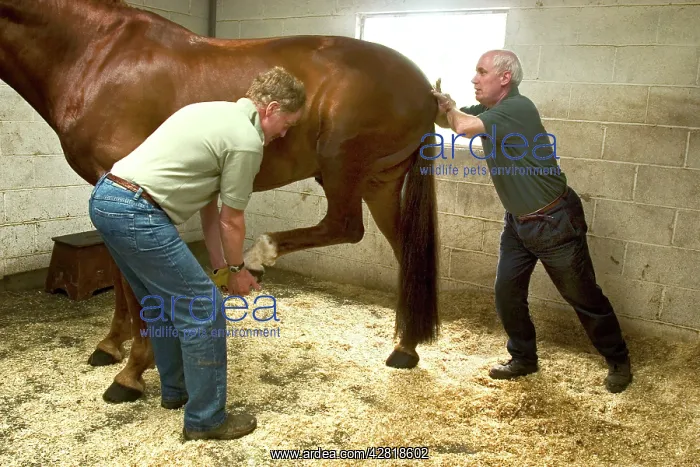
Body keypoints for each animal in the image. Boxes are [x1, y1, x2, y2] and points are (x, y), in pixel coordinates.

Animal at [0, 0, 440, 403]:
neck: (96, 53)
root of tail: (427, 89)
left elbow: (133, 278)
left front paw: (133, 370)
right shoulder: (106, 184)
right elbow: (121, 274)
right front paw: (111, 345)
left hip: (342, 171)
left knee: (345, 227)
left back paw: (260, 256)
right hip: (382, 185)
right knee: (406, 253)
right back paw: (405, 348)